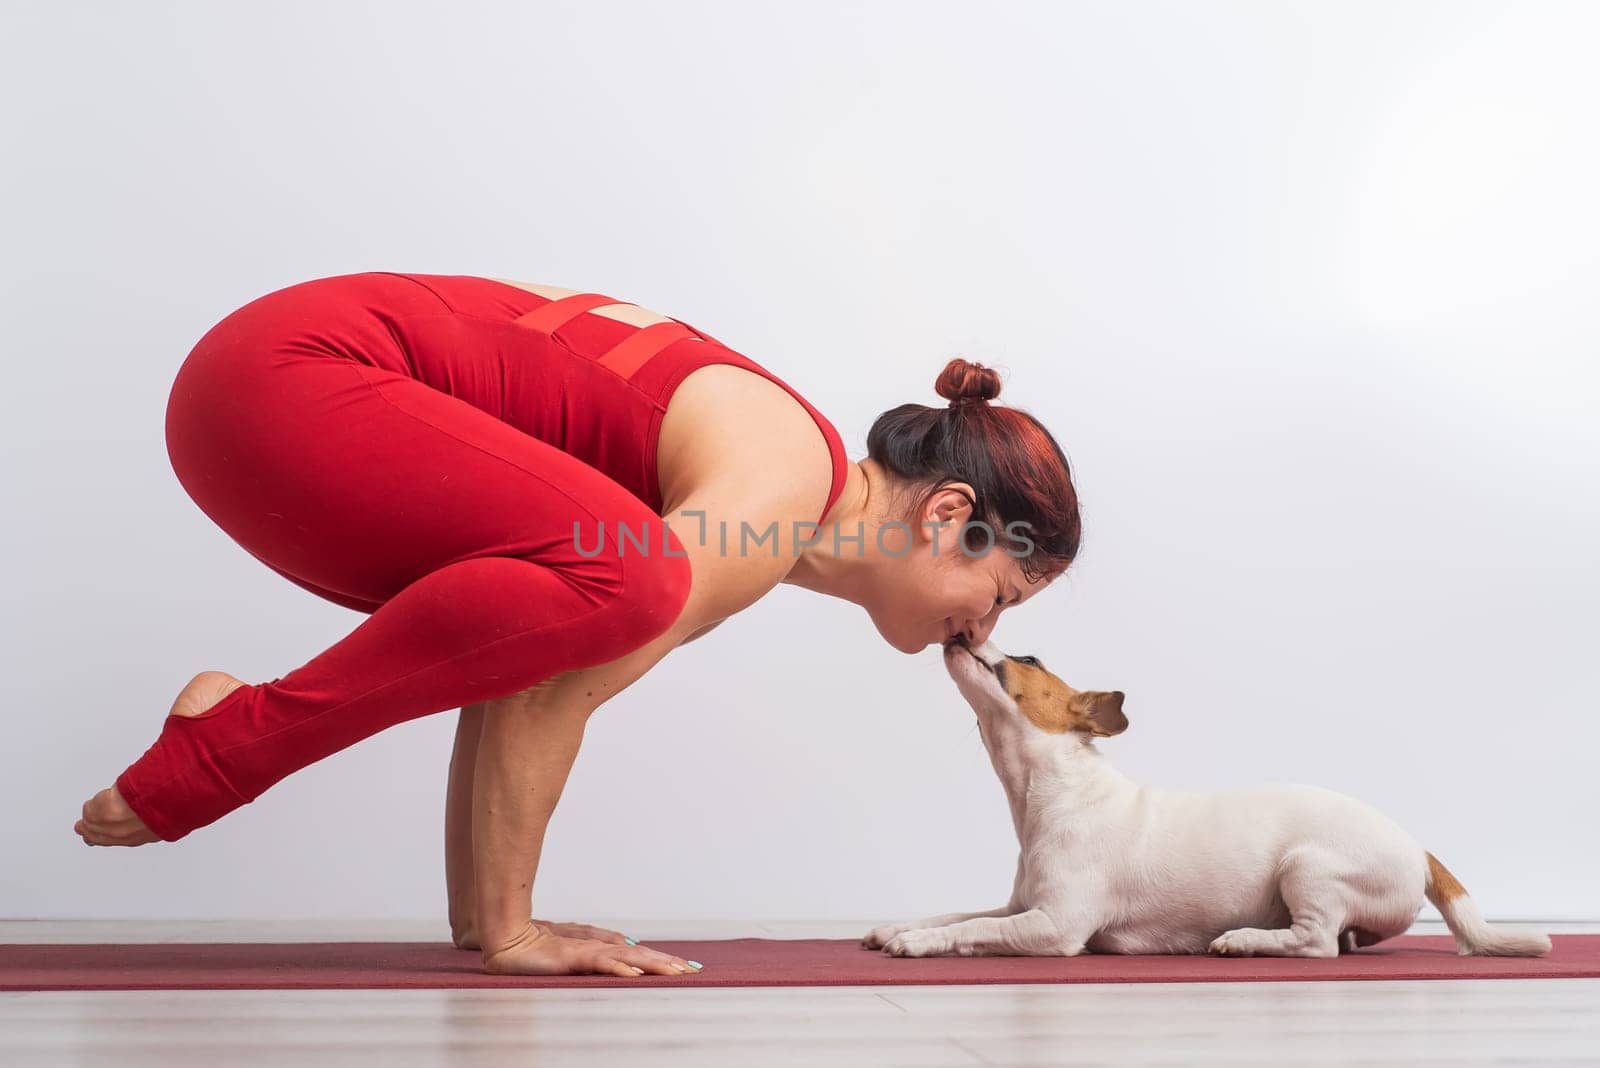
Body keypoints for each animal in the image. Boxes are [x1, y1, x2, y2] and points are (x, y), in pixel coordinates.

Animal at [864, 633, 1548, 959]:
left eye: (1027, 656)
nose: (963, 630)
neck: (1055, 793)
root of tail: (1418, 848)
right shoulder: (1019, 907)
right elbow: (960, 915)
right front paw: (898, 927)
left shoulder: (1054, 926)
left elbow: (972, 929)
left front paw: (917, 945)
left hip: (1308, 868)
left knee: (1317, 942)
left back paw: (1246, 941)